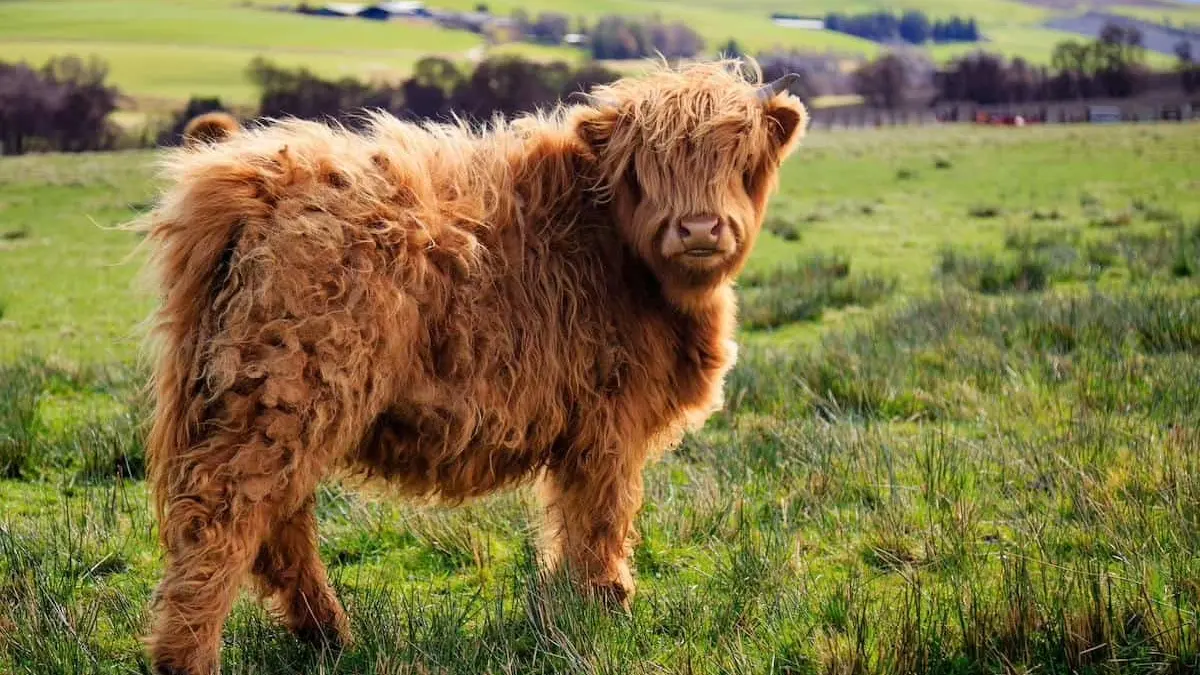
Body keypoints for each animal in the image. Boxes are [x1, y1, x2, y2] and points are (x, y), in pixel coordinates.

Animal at [131, 59, 808, 674]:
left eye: (741, 160)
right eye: (644, 168)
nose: (699, 228)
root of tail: (260, 181)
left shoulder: (586, 428)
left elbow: (576, 520)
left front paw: (569, 610)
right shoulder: (609, 422)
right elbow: (603, 515)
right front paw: (608, 606)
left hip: (267, 398)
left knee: (279, 521)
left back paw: (330, 636)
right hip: (290, 390)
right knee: (224, 513)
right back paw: (190, 657)